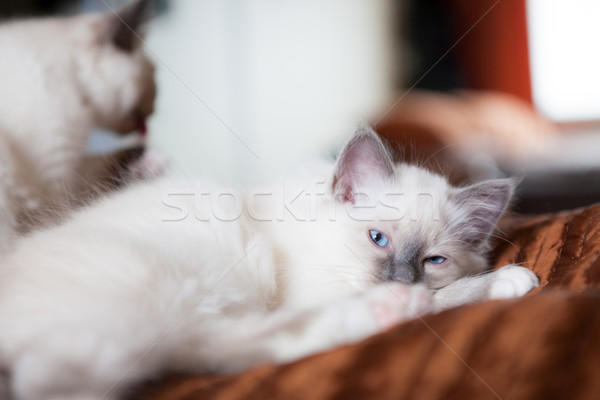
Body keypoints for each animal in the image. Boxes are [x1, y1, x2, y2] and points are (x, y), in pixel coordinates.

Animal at [0, 126, 540, 398]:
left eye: (433, 259)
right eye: (378, 239)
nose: (403, 279)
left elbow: (445, 293)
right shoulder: (313, 288)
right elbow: (449, 298)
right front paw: (511, 279)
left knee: (233, 349)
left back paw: (389, 310)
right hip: (143, 304)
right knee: (49, 383)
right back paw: (395, 306)